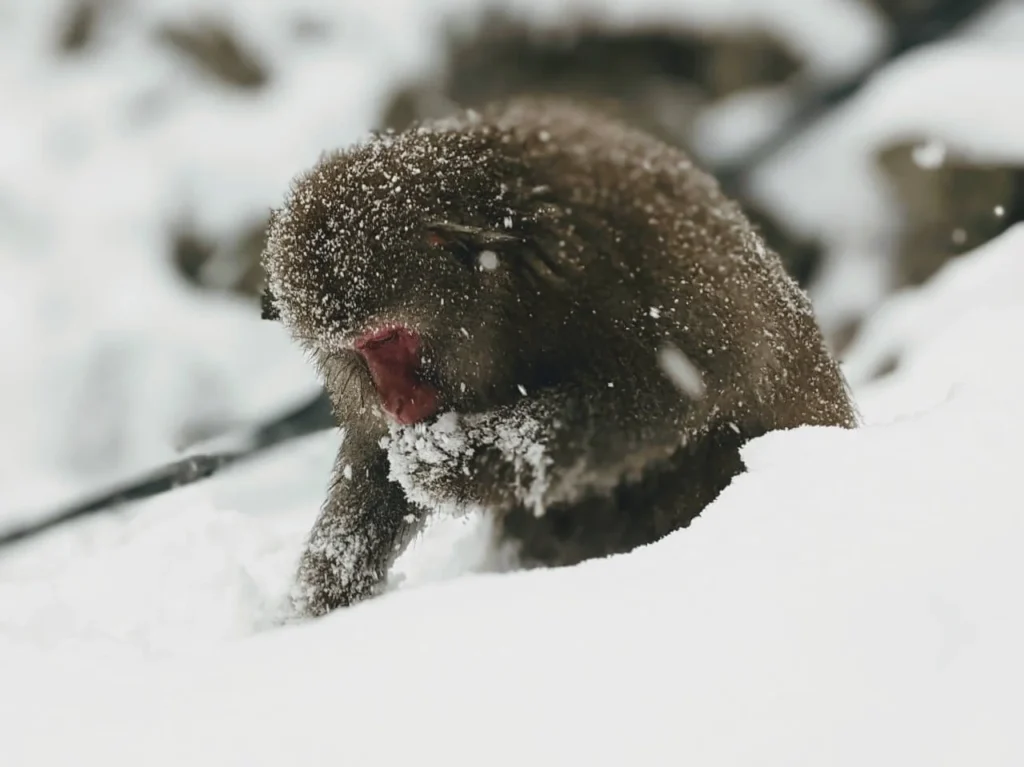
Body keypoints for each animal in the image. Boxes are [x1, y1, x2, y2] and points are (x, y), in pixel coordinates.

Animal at [260, 96, 858, 618]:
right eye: (356, 350)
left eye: (389, 339)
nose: (396, 401)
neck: (500, 287)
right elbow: (374, 462)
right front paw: (316, 604)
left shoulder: (608, 251)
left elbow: (695, 378)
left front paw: (459, 461)